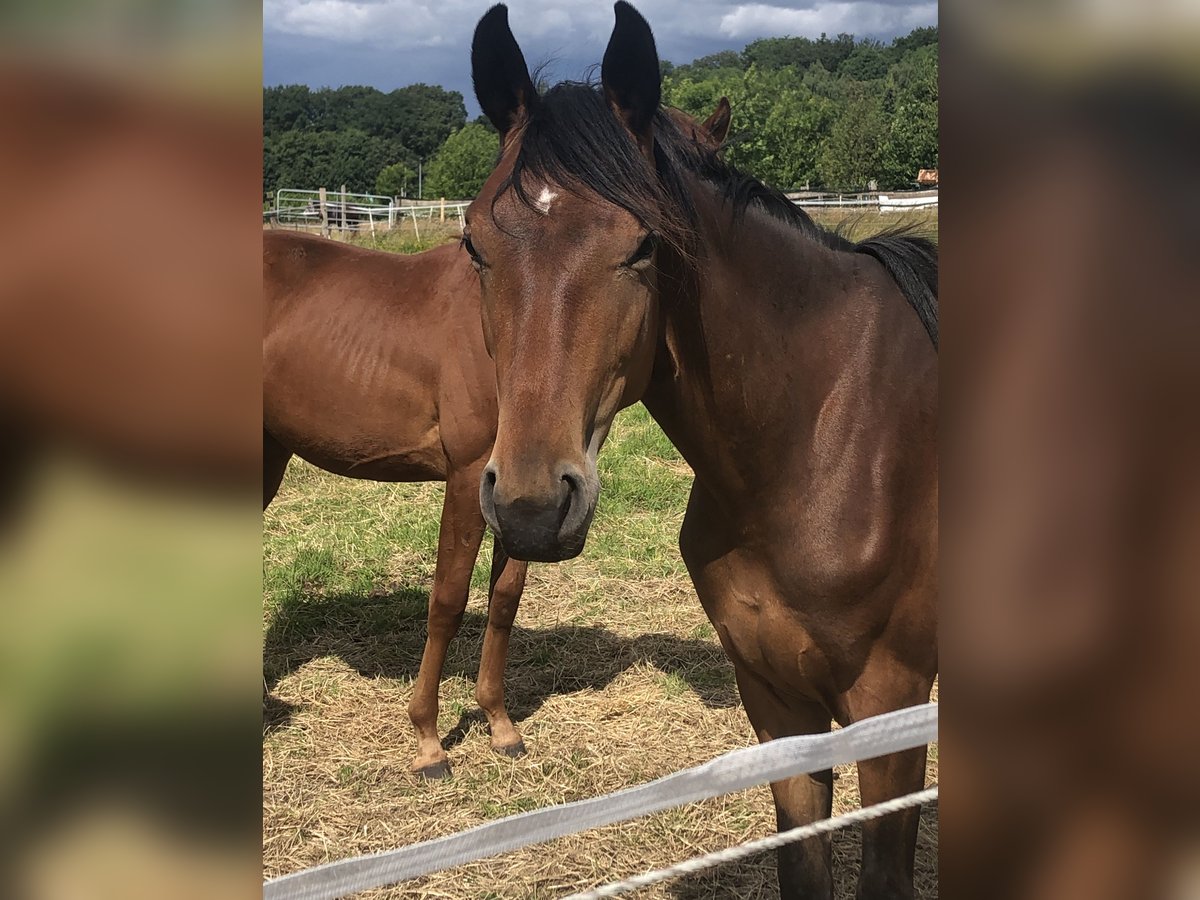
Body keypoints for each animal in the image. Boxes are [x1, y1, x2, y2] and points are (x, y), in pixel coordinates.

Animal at [262, 100, 729, 782]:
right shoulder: (470, 476)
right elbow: (449, 600)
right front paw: (428, 740)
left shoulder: (526, 496)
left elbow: (504, 598)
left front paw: (501, 725)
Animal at [465, 3, 936, 897]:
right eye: (474, 245)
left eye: (645, 245)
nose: (532, 506)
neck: (822, 436)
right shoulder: (778, 701)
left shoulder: (889, 709)